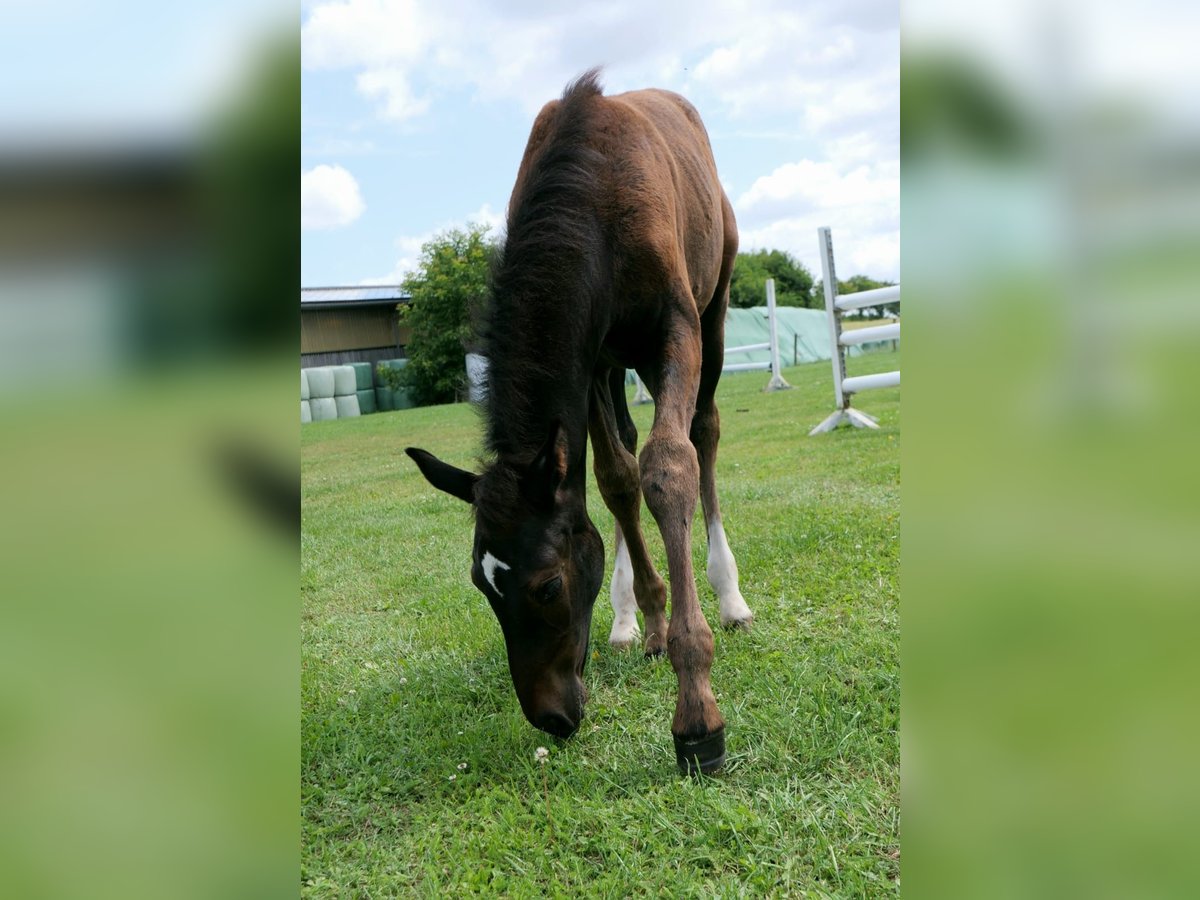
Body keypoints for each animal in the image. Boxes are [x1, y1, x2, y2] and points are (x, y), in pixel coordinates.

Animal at [408, 70, 753, 777]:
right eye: (481, 585)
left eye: (546, 586)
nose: (552, 717)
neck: (592, 201)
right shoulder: (589, 358)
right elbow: (617, 478)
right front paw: (649, 617)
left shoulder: (675, 326)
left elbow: (667, 467)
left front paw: (697, 714)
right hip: (620, 364)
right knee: (623, 453)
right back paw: (627, 620)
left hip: (714, 307)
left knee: (703, 433)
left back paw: (730, 596)